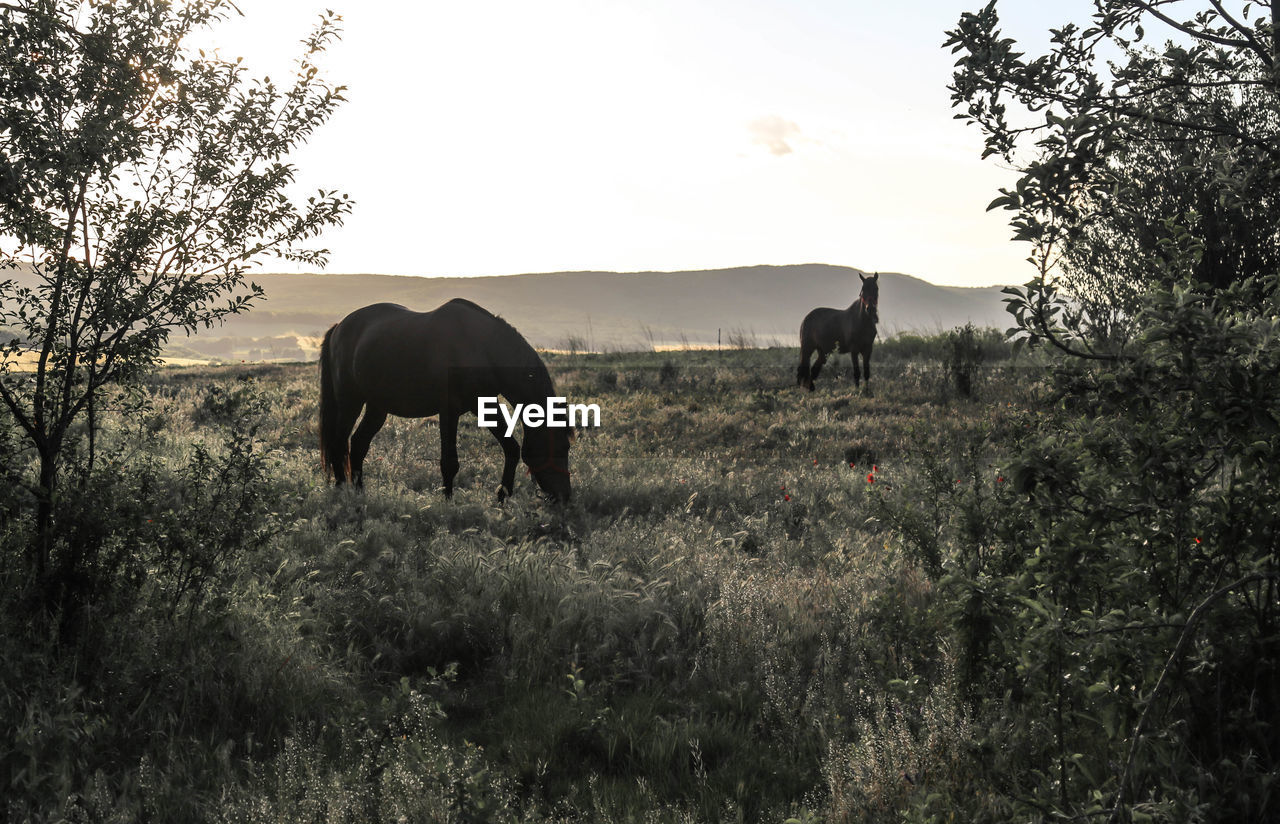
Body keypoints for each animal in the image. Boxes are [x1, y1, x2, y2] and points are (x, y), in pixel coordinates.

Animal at [322, 295, 573, 501]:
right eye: (561, 447)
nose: (565, 497)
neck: (482, 348)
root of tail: (339, 328)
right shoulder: (449, 411)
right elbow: (449, 462)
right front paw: (447, 503)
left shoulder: (484, 404)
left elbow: (511, 448)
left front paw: (503, 497)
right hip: (350, 402)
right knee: (339, 442)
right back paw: (341, 490)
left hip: (377, 407)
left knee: (358, 443)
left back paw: (359, 492)